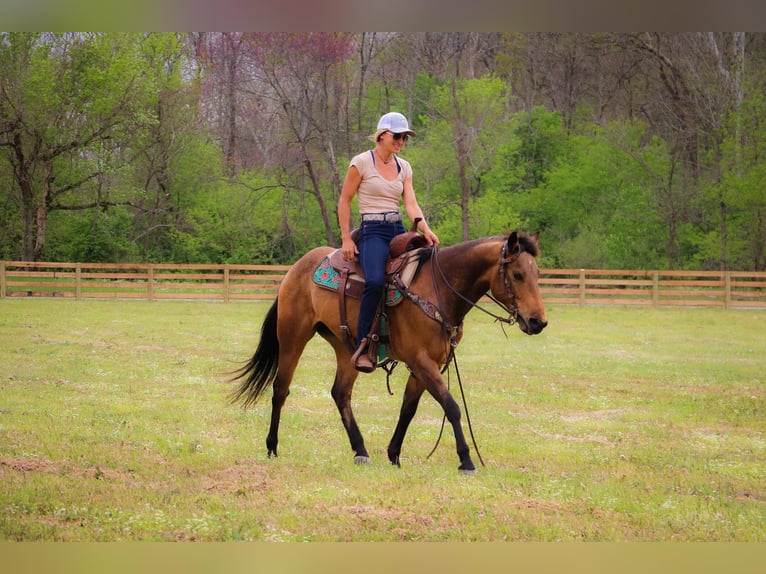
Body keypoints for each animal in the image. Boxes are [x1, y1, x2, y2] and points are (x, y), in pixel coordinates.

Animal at [231, 232, 548, 474]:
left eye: (537, 274)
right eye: (518, 274)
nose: (538, 321)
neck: (438, 291)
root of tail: (297, 268)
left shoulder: (426, 366)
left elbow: (408, 409)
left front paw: (394, 454)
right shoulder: (421, 362)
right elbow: (451, 405)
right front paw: (466, 460)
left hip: (347, 348)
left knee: (340, 393)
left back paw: (360, 449)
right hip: (293, 337)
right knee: (280, 390)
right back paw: (272, 446)